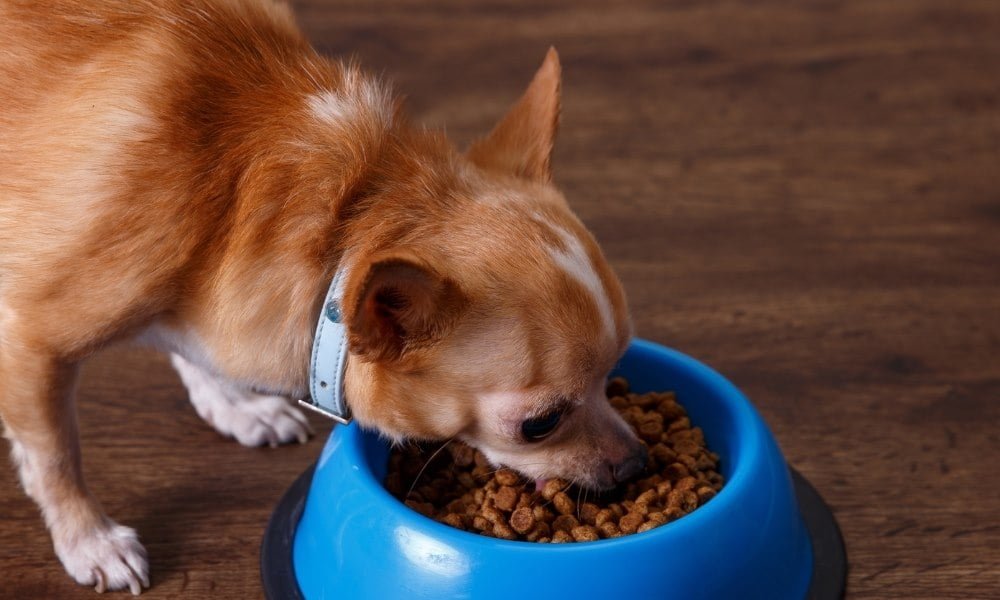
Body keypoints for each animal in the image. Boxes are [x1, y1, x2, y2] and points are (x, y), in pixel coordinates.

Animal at [0, 0, 648, 592]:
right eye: (539, 425)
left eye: (613, 378)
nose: (638, 461)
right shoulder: (29, 340)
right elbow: (56, 455)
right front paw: (89, 539)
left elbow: (190, 349)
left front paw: (233, 403)